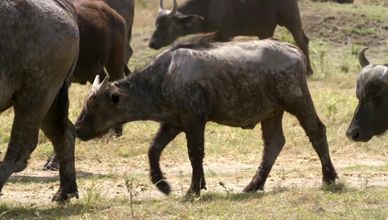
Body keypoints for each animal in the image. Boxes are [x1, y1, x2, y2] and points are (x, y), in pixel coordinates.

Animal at [75, 39, 336, 196]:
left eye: (93, 104)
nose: (77, 129)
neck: (162, 78)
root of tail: (295, 51)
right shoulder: (172, 123)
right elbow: (153, 149)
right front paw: (163, 184)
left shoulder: (194, 122)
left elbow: (195, 154)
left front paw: (194, 188)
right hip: (271, 113)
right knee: (273, 144)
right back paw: (254, 185)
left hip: (297, 101)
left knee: (316, 131)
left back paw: (329, 177)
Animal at [149, 0, 316, 75]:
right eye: (156, 23)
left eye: (165, 25)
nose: (152, 43)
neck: (209, 7)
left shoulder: (225, 34)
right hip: (265, 30)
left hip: (291, 19)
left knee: (302, 40)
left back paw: (308, 70)